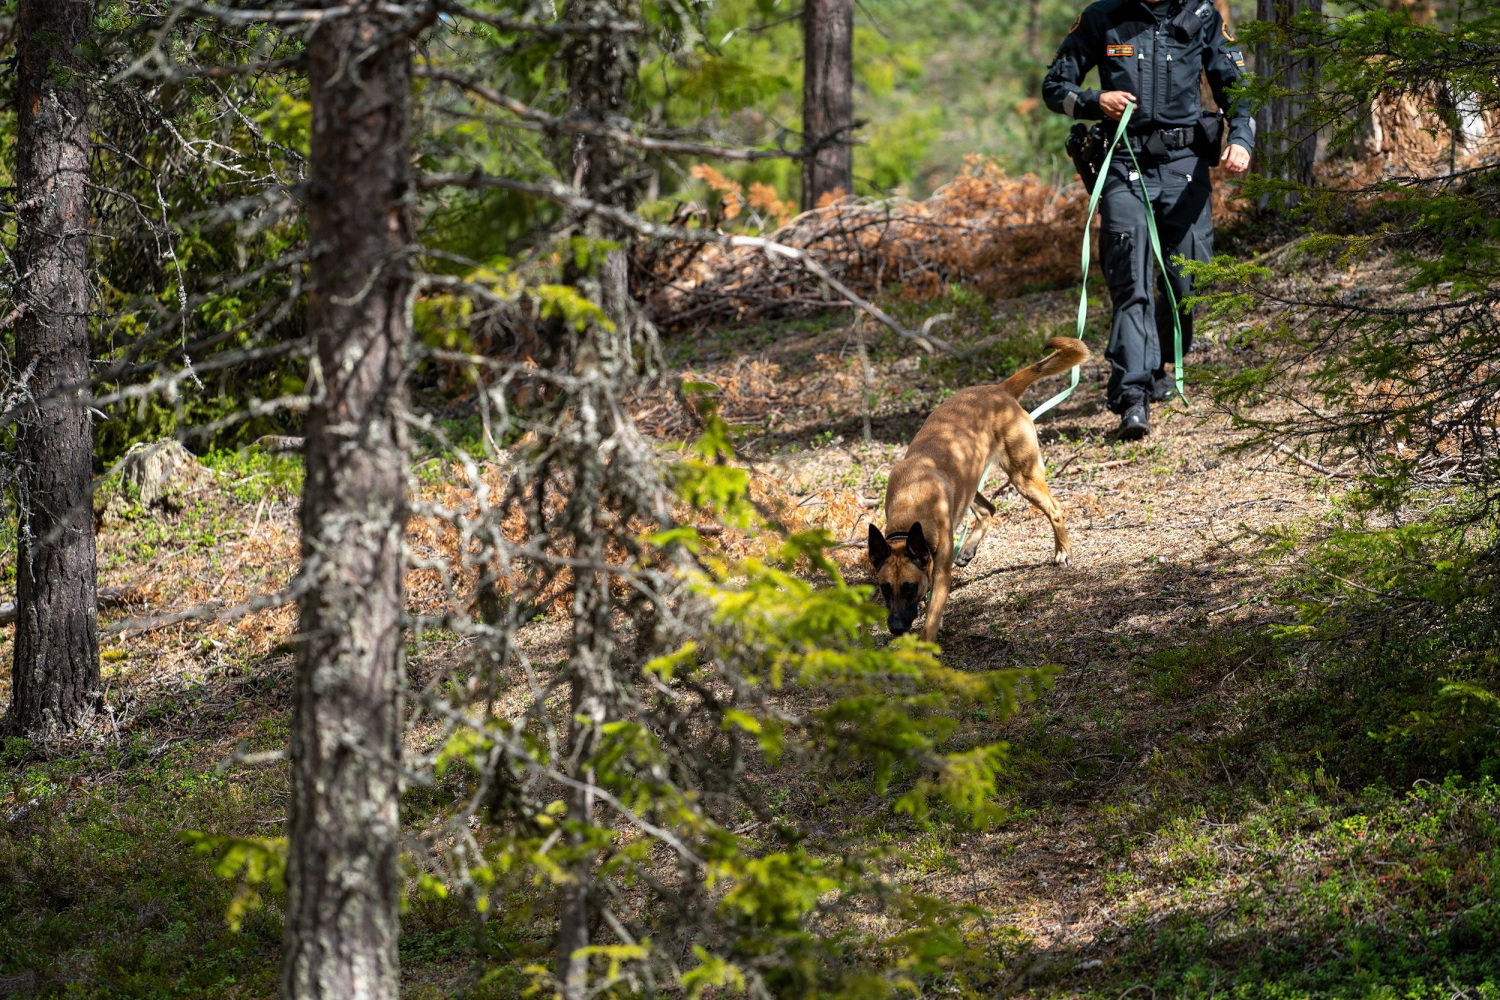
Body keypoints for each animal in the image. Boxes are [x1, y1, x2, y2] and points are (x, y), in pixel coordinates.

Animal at [870, 338, 1092, 641]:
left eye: (909, 587)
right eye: (885, 589)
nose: (896, 629)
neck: (912, 501)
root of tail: (999, 389)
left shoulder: (940, 574)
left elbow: (930, 618)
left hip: (1023, 476)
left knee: (1055, 509)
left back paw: (1063, 552)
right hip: (969, 483)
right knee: (990, 509)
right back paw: (969, 548)